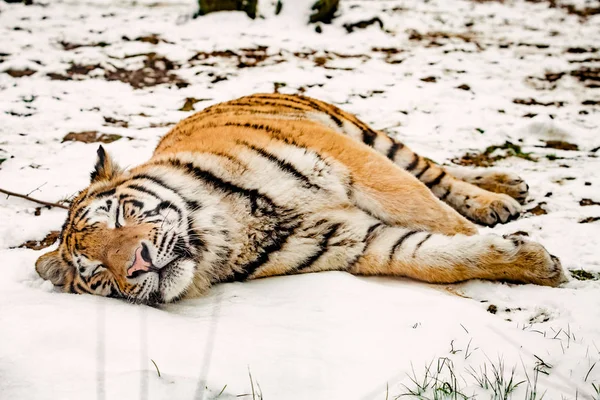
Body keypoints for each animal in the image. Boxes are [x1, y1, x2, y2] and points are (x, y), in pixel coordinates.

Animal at [34, 92, 568, 304]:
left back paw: (499, 195)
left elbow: (433, 214)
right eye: (98, 272)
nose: (137, 264)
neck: (229, 230)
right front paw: (532, 262)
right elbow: (433, 256)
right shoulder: (356, 242)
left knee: (431, 171)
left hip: (365, 136)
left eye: (120, 216)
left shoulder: (355, 163)